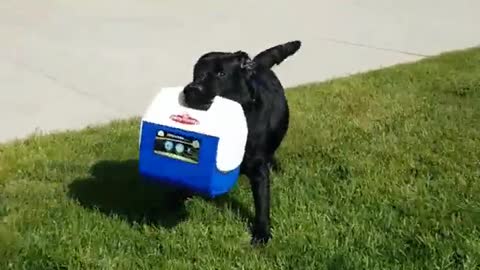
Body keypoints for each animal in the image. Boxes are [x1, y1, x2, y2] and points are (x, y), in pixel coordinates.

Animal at [182, 40, 302, 245]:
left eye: (221, 74)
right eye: (196, 73)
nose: (191, 89)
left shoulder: (258, 170)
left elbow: (262, 204)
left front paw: (261, 234)